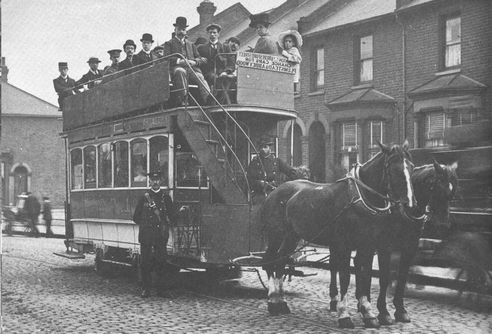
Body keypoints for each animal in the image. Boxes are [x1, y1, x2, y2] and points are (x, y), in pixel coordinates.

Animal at [258, 141, 416, 328]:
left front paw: (368, 313)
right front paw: (344, 315)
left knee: (281, 260)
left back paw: (281, 302)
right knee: (269, 260)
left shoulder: (368, 245)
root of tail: (274, 191)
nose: (410, 204)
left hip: (292, 236)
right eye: (393, 168)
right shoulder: (344, 246)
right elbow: (345, 276)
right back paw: (273, 300)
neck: (358, 197)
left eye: (412, 167)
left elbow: (365, 274)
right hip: (276, 234)